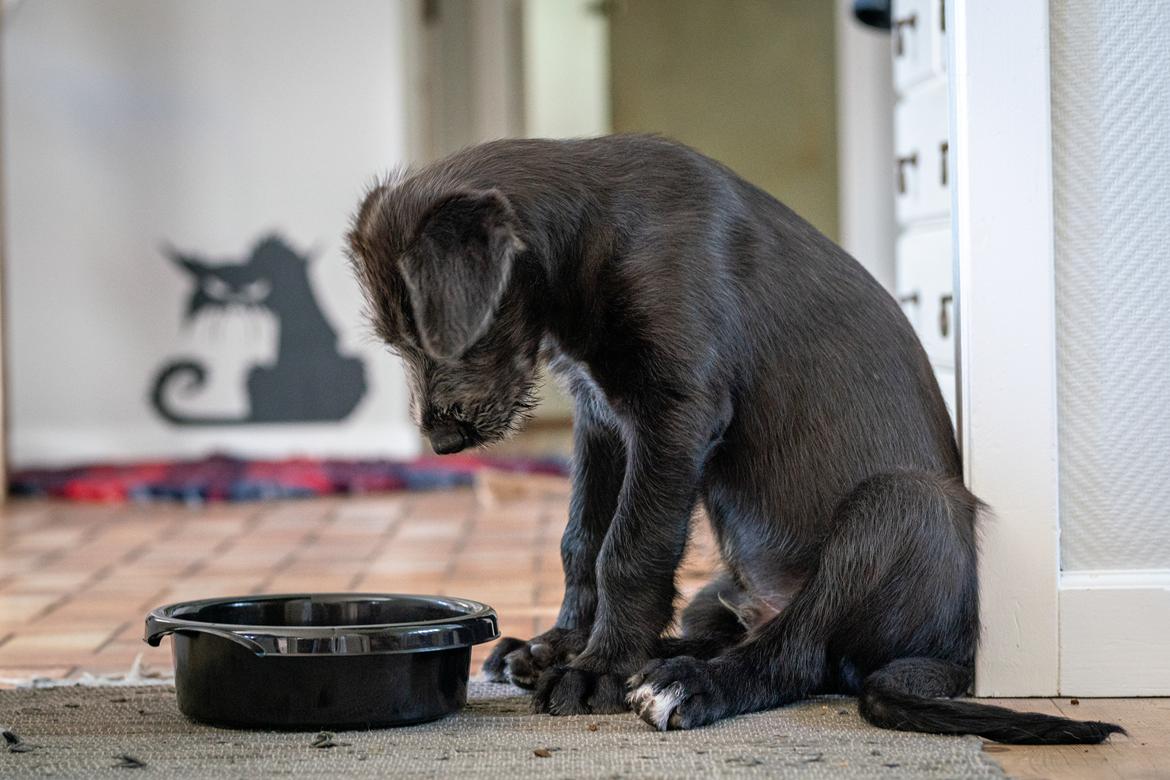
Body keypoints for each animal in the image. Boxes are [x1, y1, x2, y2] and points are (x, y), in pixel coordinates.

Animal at [346, 134, 1123, 743]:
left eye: (426, 333)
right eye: (397, 341)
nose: (441, 444)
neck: (593, 229)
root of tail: (958, 649)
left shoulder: (675, 413)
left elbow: (628, 548)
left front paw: (597, 670)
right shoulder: (602, 420)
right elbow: (581, 541)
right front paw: (562, 645)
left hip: (900, 507)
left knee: (798, 655)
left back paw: (685, 683)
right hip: (720, 589)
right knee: (736, 630)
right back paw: (654, 657)